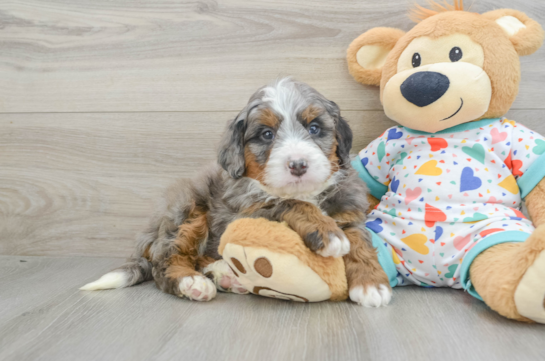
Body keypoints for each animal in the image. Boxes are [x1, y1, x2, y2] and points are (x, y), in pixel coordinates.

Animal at [82, 77, 392, 306]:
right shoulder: (243, 213)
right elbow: (289, 203)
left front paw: (371, 284)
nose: (298, 165)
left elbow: (360, 242)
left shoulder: (348, 208)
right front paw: (328, 233)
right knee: (167, 261)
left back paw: (226, 275)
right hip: (188, 210)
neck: (306, 192)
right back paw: (192, 282)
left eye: (314, 128)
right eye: (267, 134)